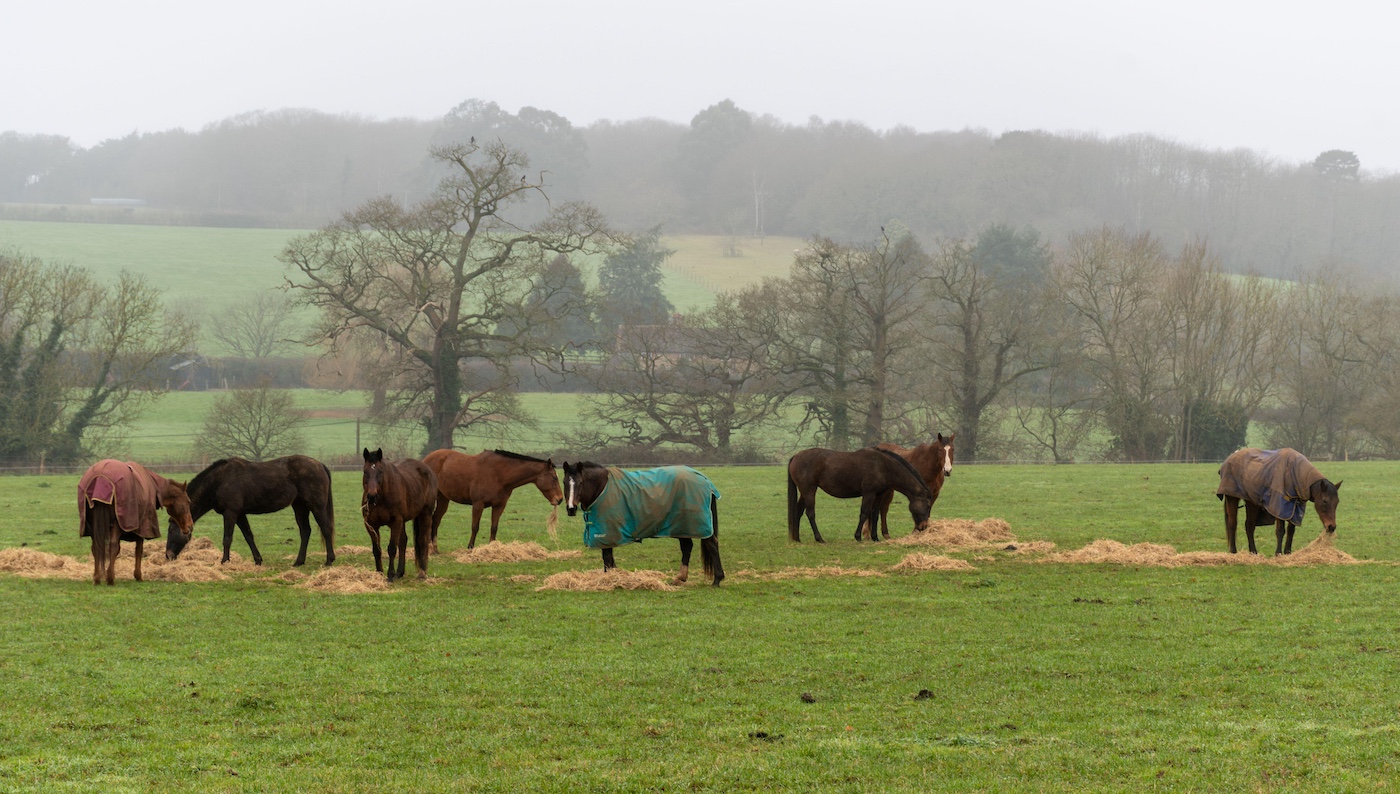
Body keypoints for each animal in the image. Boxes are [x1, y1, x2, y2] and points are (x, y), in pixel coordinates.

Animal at [167, 455, 335, 567]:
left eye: (171, 530)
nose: (168, 555)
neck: (219, 481)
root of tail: (320, 464)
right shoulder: (240, 514)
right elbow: (249, 536)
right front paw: (258, 560)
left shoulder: (230, 513)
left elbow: (227, 538)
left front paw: (224, 561)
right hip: (300, 506)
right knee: (305, 531)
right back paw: (299, 562)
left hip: (316, 506)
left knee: (326, 529)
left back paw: (329, 560)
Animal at [361, 448, 439, 581]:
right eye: (365, 471)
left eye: (380, 471)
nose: (371, 496)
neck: (381, 498)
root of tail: (427, 469)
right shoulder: (371, 525)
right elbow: (377, 549)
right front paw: (379, 572)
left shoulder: (396, 521)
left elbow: (392, 548)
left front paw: (390, 575)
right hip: (403, 521)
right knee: (403, 541)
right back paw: (400, 572)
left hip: (425, 514)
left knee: (422, 540)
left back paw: (422, 572)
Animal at [423, 448, 564, 551]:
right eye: (554, 477)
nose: (560, 499)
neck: (499, 474)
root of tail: (426, 459)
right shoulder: (478, 504)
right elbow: (475, 526)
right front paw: (470, 547)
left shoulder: (499, 506)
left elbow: (494, 527)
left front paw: (492, 547)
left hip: (443, 498)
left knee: (436, 520)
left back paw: (434, 549)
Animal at [562, 461, 724, 586]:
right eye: (564, 482)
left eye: (580, 483)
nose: (571, 508)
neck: (602, 487)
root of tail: (704, 479)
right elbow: (609, 558)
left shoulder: (607, 532)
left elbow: (607, 557)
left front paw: (610, 579)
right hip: (681, 527)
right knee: (687, 547)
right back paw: (680, 578)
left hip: (697, 525)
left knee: (712, 545)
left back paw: (717, 579)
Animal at [787, 447, 933, 543]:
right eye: (927, 505)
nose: (923, 527)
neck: (883, 466)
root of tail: (795, 456)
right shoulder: (869, 494)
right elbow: (864, 514)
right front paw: (858, 537)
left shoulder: (878, 495)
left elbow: (875, 515)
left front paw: (875, 537)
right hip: (809, 490)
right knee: (810, 513)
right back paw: (819, 538)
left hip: (805, 492)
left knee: (798, 511)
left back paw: (797, 538)